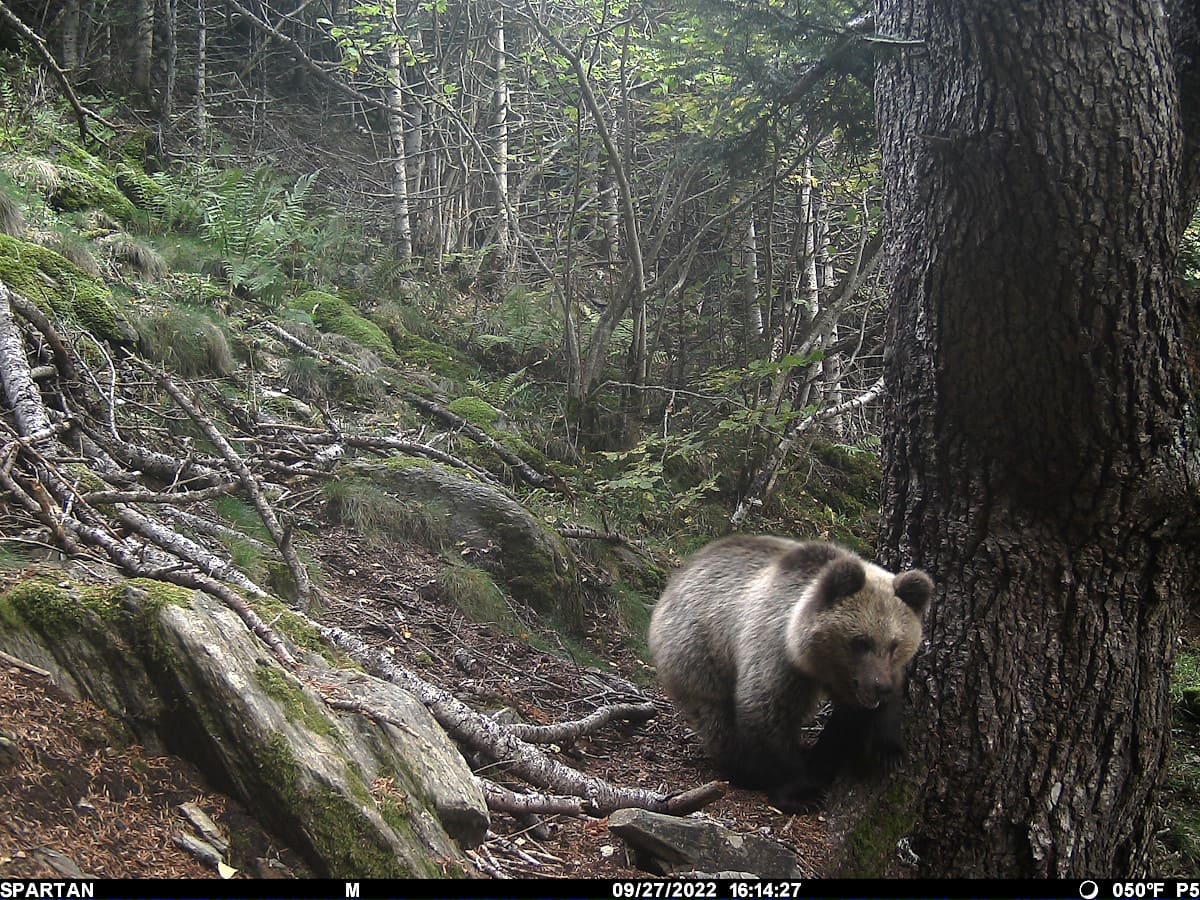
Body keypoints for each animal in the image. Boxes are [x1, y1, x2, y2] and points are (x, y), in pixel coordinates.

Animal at [652, 535, 931, 811]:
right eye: (861, 641)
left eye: (894, 644)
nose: (879, 686)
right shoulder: (777, 655)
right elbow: (768, 714)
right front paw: (800, 793)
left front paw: (887, 752)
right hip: (699, 650)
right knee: (716, 716)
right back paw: (742, 768)